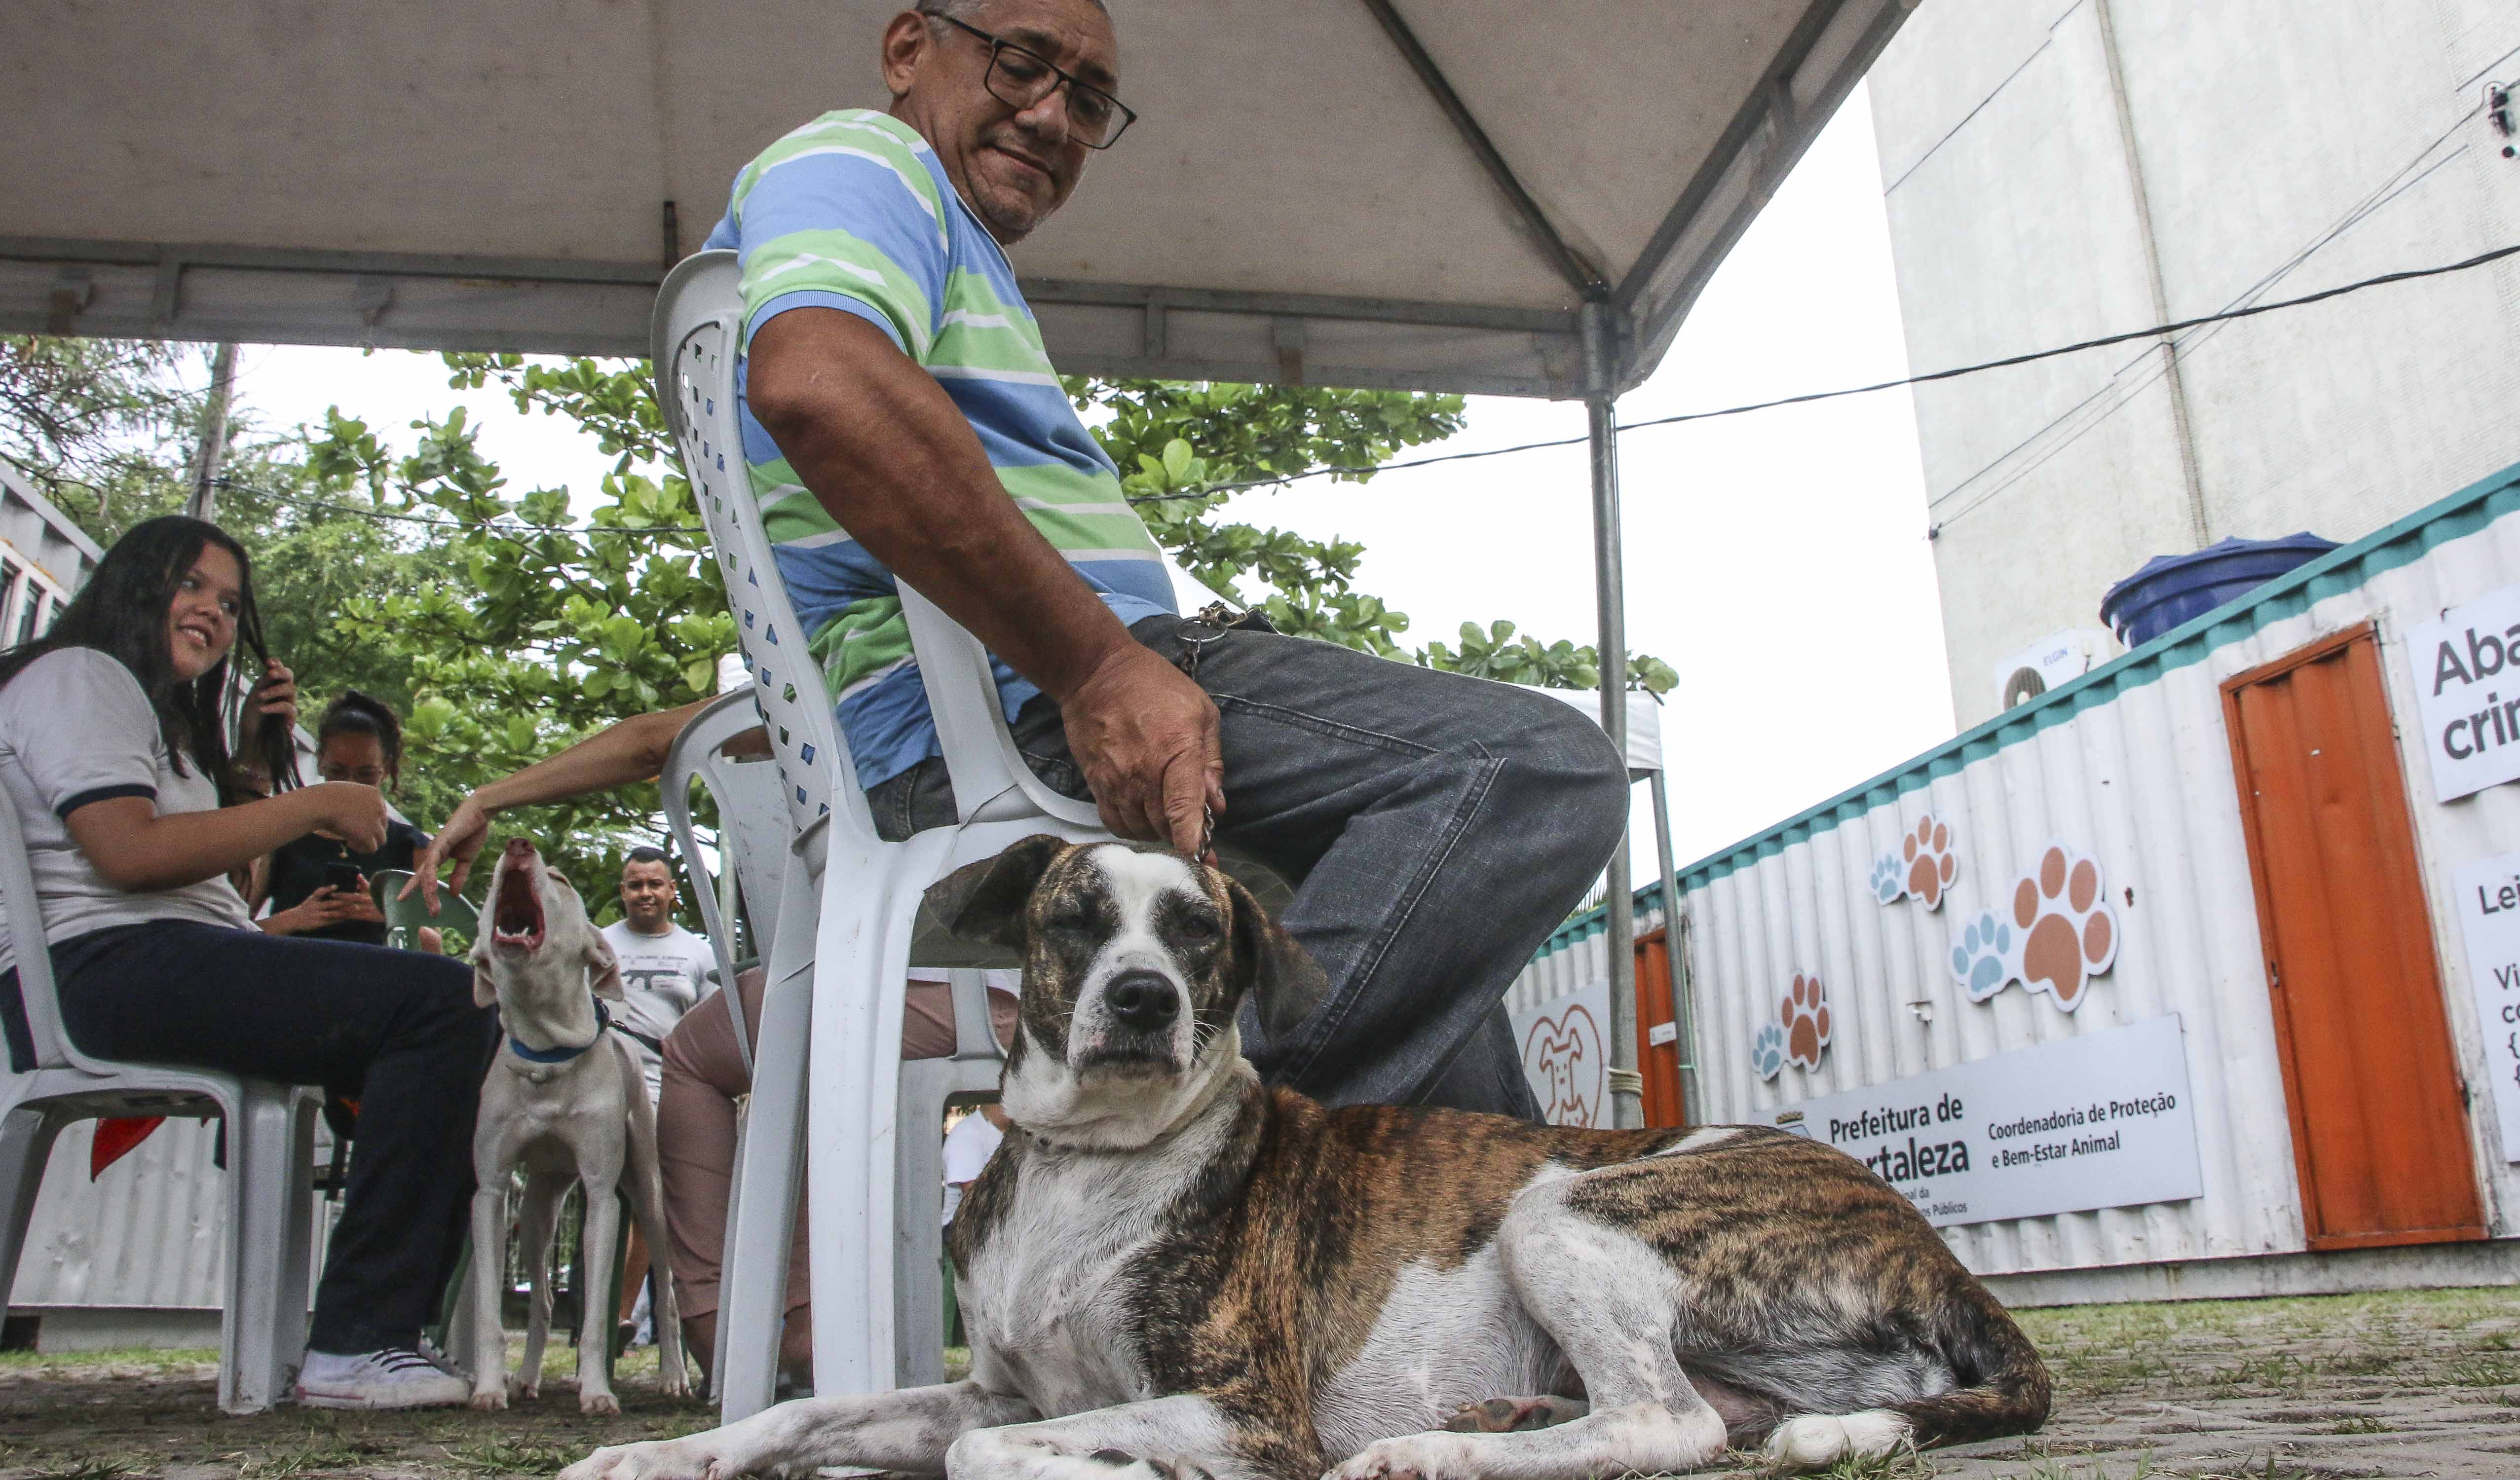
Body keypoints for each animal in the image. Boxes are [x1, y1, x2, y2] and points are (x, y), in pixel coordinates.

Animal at [567, 842, 2046, 1472]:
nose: (1143, 997)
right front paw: (658, 1459)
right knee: (1704, 1415)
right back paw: (1507, 1420)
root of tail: (1938, 1255)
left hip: (1566, 1205)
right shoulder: (994, 1384)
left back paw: (1433, 1456)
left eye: (1198, 930)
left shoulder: (1242, 1406)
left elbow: (990, 1458)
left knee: (1663, 1424)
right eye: (1076, 916)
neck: (1090, 1162)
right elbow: (808, 1412)